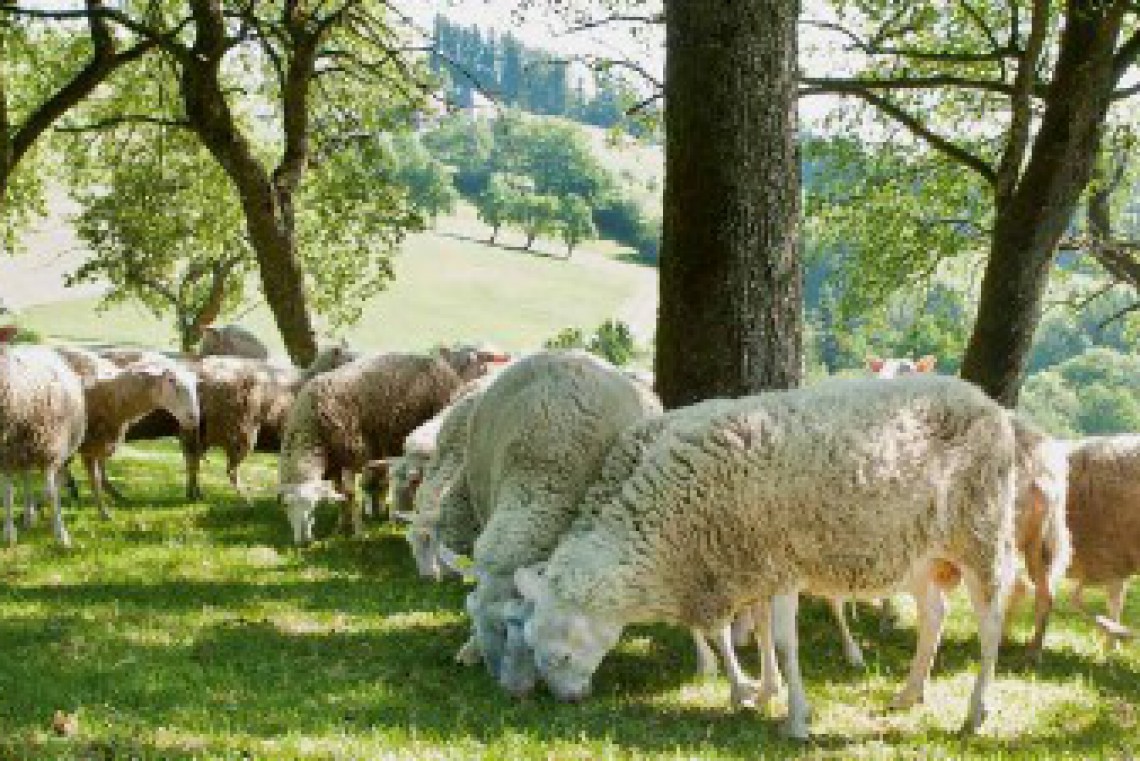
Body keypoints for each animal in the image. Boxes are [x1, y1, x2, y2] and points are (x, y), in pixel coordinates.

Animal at [0, 344, 86, 546]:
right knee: (26, 478)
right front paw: (9, 533)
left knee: (49, 481)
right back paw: (28, 514)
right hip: (23, 452)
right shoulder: (6, 456)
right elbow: (8, 493)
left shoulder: (50, 452)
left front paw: (61, 535)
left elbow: (51, 492)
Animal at [278, 353, 460, 544]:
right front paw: (341, 525)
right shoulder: (335, 463)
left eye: (313, 505)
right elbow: (340, 494)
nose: (302, 542)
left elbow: (350, 494)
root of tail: (436, 360)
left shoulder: (351, 454)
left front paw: (358, 532)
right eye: (286, 506)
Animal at [515, 373, 1016, 738]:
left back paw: (977, 712)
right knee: (935, 614)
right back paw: (910, 693)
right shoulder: (750, 566)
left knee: (991, 621)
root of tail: (989, 402)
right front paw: (762, 693)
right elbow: (754, 633)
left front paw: (793, 718)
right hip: (919, 555)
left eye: (561, 655)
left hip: (980, 533)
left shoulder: (780, 566)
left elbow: (780, 641)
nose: (568, 702)